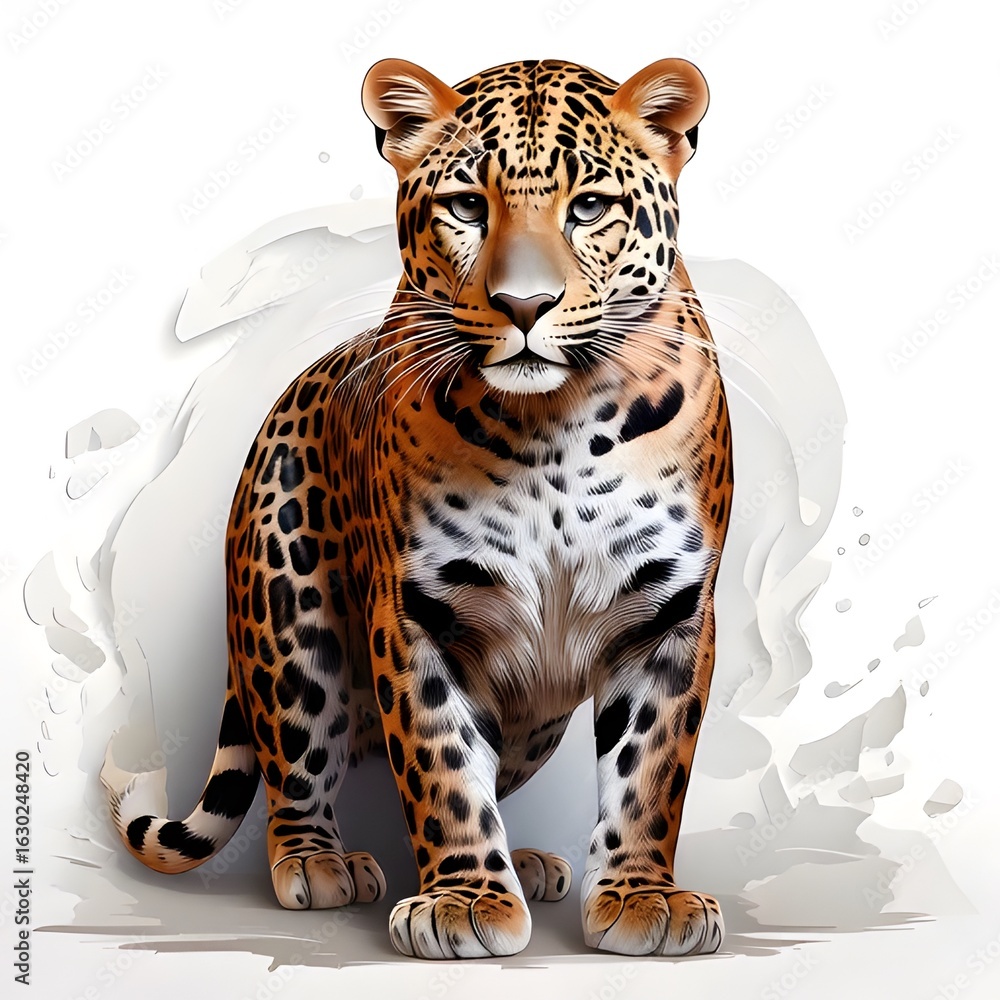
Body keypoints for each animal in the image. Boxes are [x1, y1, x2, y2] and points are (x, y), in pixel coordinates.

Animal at [104, 56, 733, 960]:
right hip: (290, 618)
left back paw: (527, 862)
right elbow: (439, 763)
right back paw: (316, 862)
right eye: (467, 206)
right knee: (299, 757)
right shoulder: (414, 611)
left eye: (589, 207)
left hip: (535, 713)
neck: (556, 424)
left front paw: (642, 899)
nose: (524, 306)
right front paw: (465, 903)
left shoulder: (672, 611)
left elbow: (650, 772)